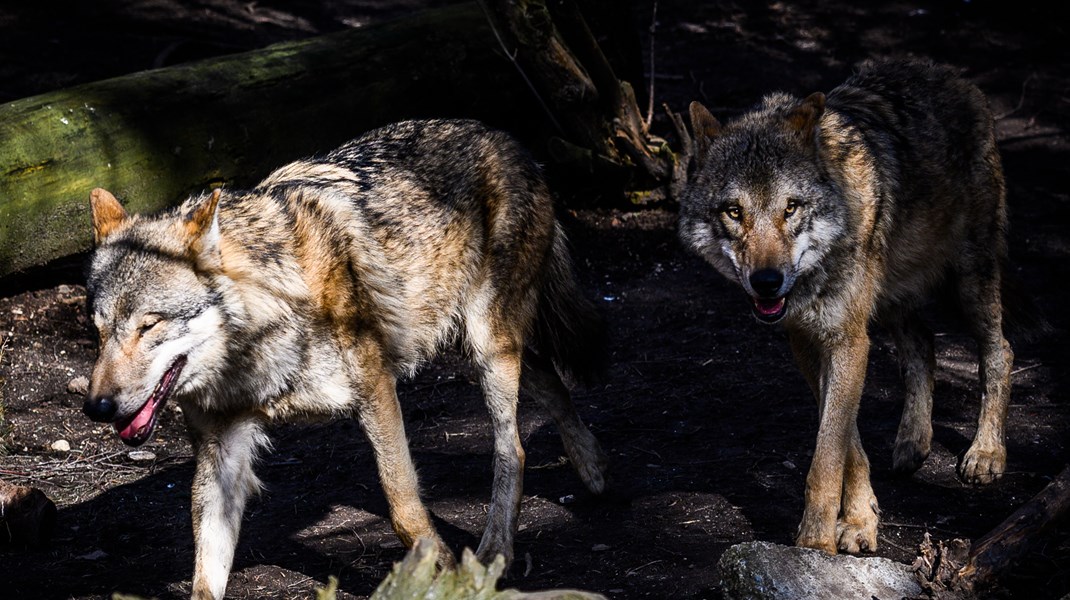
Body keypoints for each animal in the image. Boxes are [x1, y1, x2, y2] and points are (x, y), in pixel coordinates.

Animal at [84, 118, 612, 598]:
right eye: (98, 330)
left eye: (149, 325)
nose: (98, 408)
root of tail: (508, 140)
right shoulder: (221, 450)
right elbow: (204, 575)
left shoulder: (376, 389)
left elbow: (403, 508)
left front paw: (440, 572)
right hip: (465, 344)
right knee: (550, 381)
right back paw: (591, 466)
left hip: (487, 346)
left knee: (513, 448)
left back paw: (494, 552)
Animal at [680, 59, 1014, 551]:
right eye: (734, 212)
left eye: (791, 208)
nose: (767, 283)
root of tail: (950, 74)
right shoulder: (808, 341)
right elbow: (845, 443)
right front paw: (858, 520)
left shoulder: (848, 338)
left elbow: (826, 459)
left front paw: (816, 544)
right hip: (892, 297)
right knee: (923, 345)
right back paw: (913, 442)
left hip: (969, 281)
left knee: (999, 351)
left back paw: (987, 452)